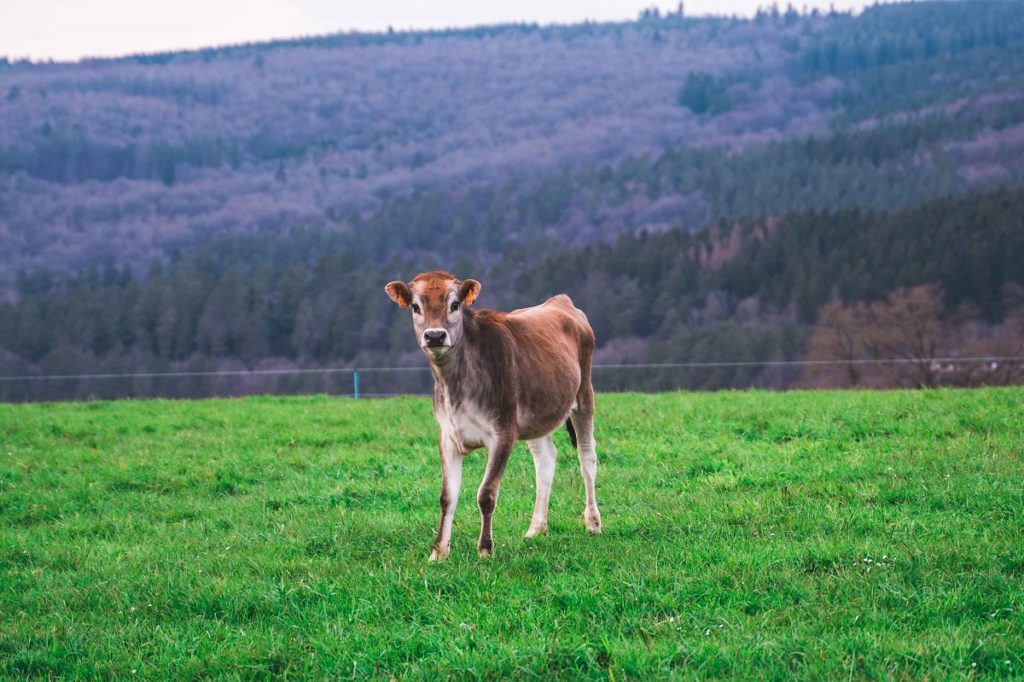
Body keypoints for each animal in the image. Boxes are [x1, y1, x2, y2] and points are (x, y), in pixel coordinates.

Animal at [387, 270, 602, 557]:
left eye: (455, 304)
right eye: (415, 306)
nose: (435, 336)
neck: (456, 385)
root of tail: (561, 301)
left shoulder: (503, 432)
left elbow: (486, 494)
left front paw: (485, 549)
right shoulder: (448, 435)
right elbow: (447, 496)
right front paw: (438, 552)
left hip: (584, 395)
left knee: (587, 457)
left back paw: (593, 523)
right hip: (536, 413)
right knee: (545, 460)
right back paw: (536, 528)